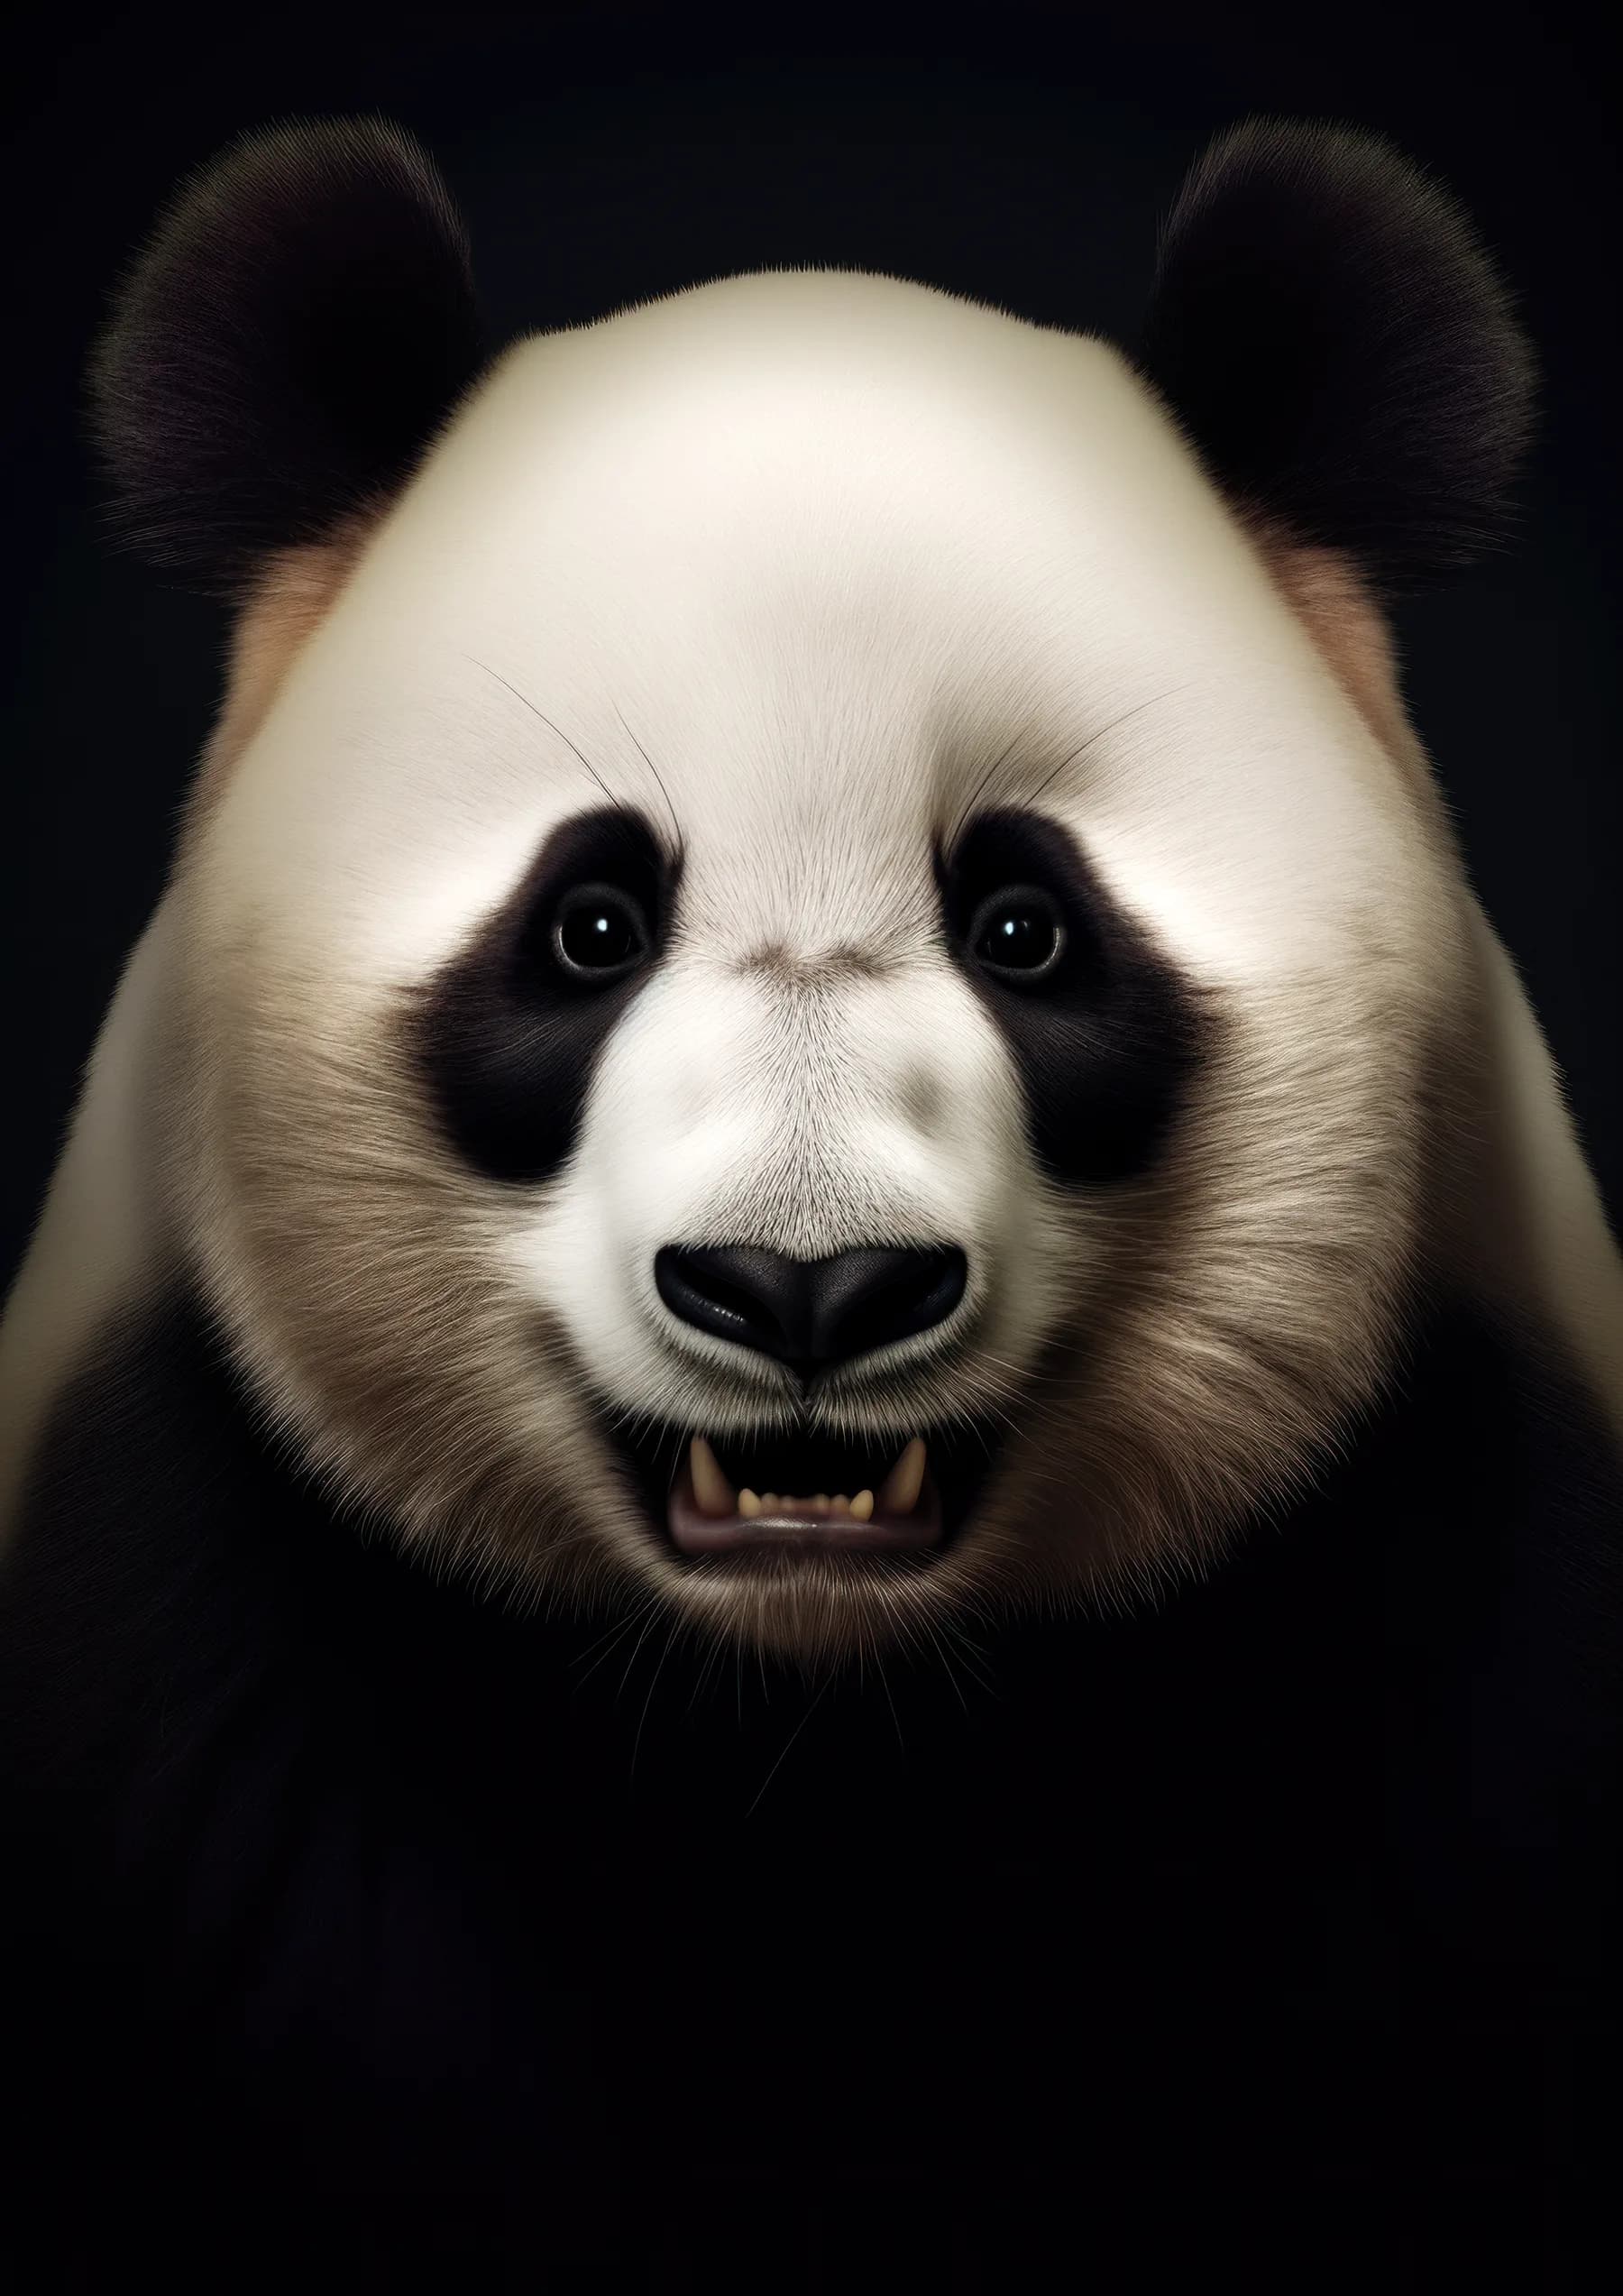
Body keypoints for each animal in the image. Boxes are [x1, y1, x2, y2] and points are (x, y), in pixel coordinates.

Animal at [2, 113, 1619, 2293]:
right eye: (588, 924)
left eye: (1028, 924)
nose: (809, 1288)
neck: (806, 1722)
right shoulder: (191, 1646)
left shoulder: (1461, 1617)